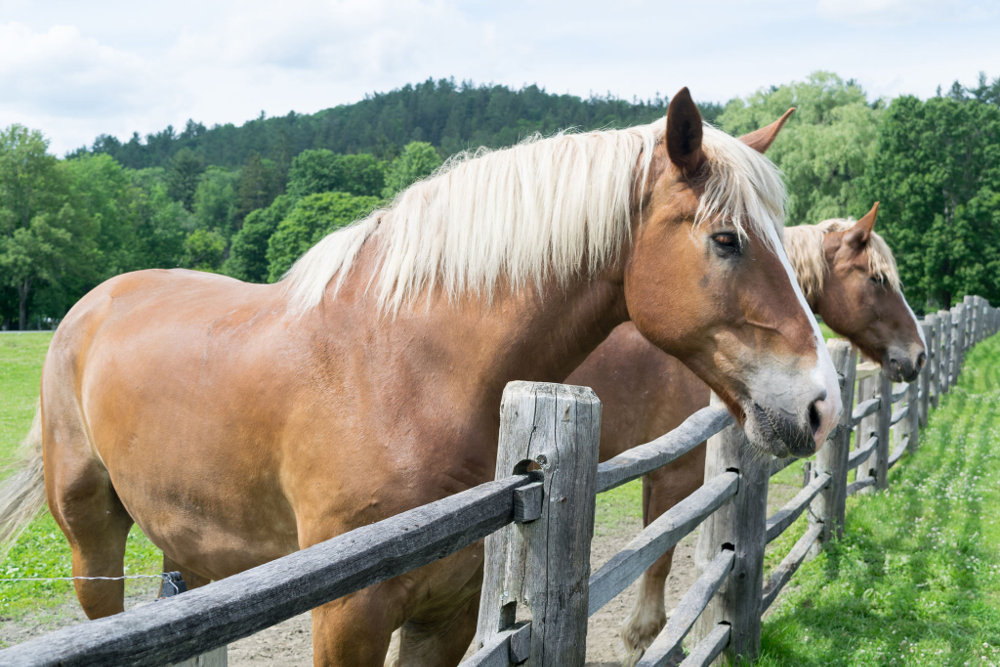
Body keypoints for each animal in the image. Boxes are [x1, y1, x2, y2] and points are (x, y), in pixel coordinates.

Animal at [0, 90, 840, 667]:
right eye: (727, 239)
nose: (820, 404)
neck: (402, 372)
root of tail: (91, 306)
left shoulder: (447, 611)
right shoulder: (350, 615)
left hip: (191, 543)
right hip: (94, 545)